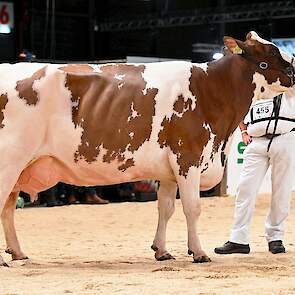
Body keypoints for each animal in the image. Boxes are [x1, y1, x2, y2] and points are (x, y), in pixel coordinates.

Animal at [0, 31, 294, 268]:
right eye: (269, 53)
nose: (293, 70)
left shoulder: (168, 170)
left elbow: (166, 207)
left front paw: (161, 251)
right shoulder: (188, 158)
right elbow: (192, 207)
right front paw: (198, 252)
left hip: (18, 166)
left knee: (8, 207)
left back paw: (17, 253)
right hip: (11, 160)